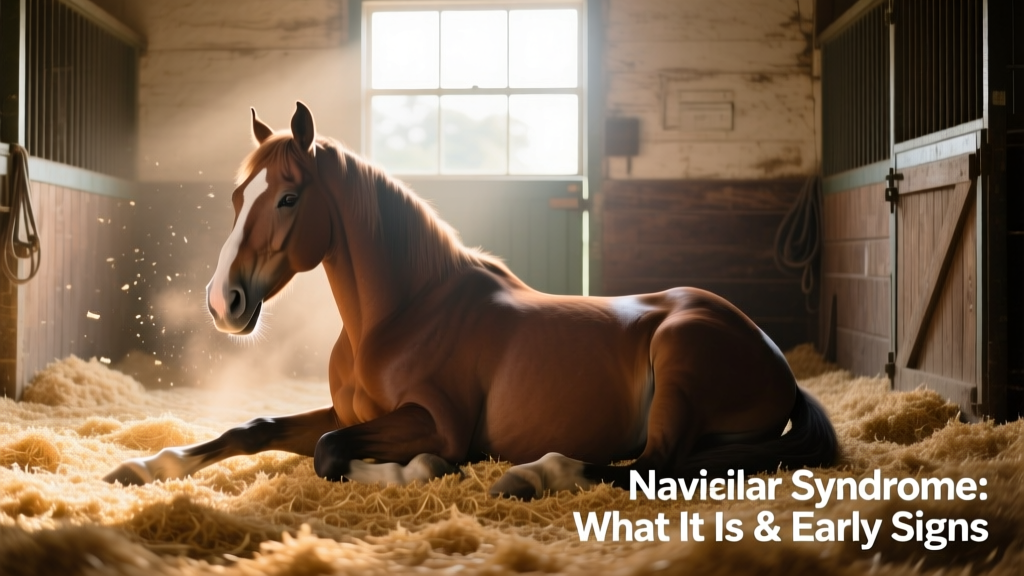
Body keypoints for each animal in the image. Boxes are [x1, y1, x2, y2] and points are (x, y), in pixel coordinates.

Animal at [104, 102, 838, 499]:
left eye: (287, 198)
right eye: (237, 196)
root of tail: (773, 356)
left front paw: (416, 472)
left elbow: (333, 454)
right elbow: (254, 429)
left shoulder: (435, 421)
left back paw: (532, 476)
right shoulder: (350, 411)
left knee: (655, 466)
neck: (403, 315)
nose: (222, 302)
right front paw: (145, 465)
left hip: (679, 360)